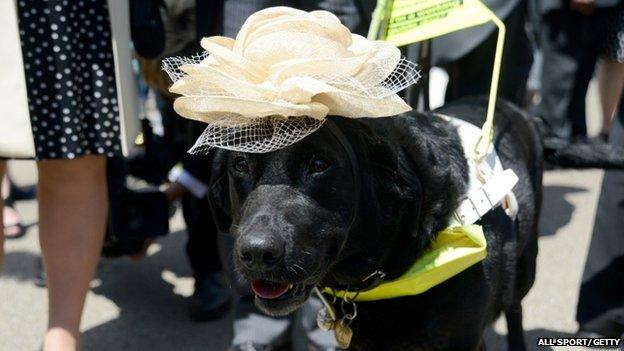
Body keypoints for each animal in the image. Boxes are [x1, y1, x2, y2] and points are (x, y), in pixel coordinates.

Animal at [204, 99, 620, 351]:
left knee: (515, 309)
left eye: (319, 164)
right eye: (240, 164)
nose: (257, 253)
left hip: (525, 269)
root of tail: (523, 112)